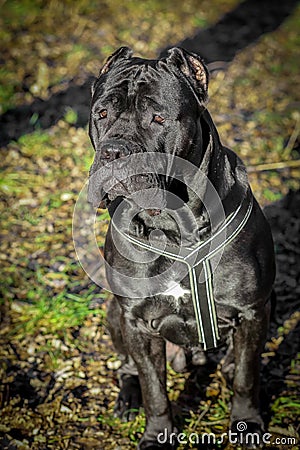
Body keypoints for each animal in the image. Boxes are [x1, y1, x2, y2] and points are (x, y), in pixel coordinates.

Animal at [86, 47, 274, 448]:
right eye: (102, 114)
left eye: (158, 117)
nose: (113, 152)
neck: (173, 226)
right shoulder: (136, 322)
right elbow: (154, 387)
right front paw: (158, 433)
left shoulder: (252, 312)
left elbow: (246, 376)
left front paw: (247, 423)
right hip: (114, 314)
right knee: (129, 368)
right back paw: (127, 398)